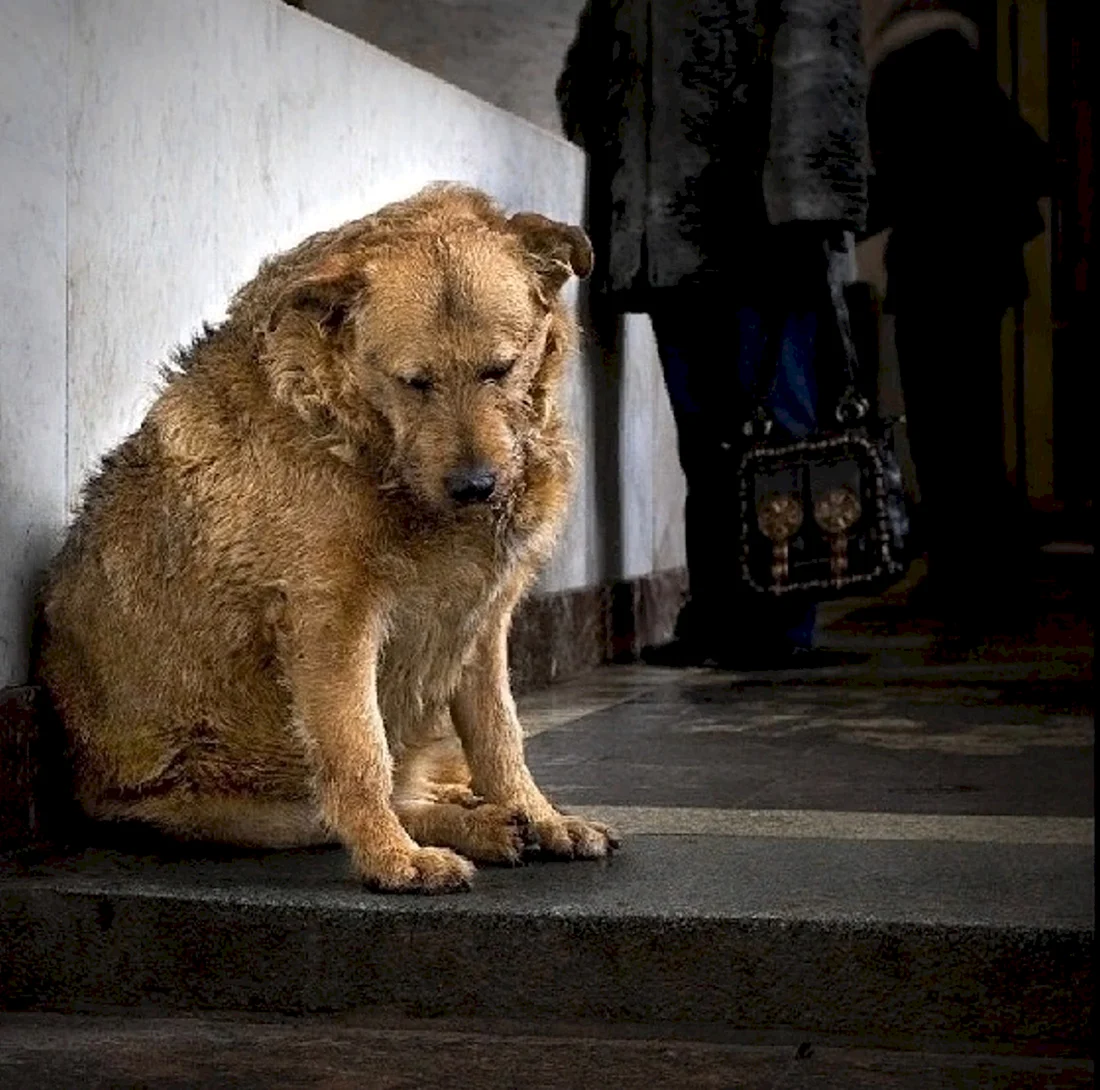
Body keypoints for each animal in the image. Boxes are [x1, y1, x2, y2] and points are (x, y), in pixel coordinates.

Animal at [36, 181, 620, 893]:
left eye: (500, 370)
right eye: (414, 381)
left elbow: (498, 736)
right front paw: (394, 859)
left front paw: (540, 815)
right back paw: (461, 828)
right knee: (360, 797)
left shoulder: (481, 621)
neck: (363, 441)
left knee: (421, 780)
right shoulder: (331, 623)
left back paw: (483, 814)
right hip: (244, 807)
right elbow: (359, 755)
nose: (476, 486)